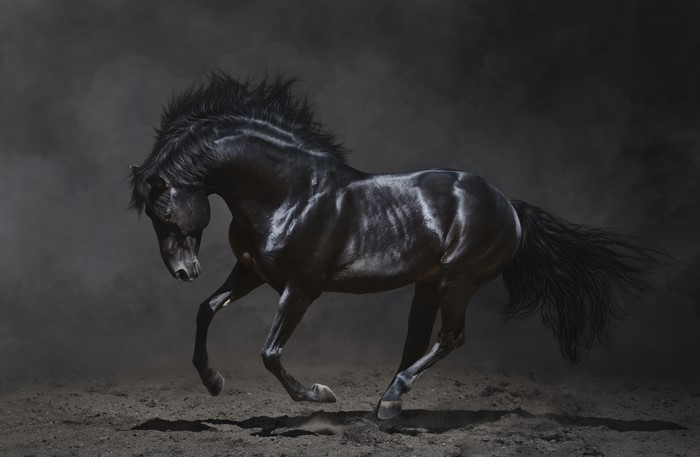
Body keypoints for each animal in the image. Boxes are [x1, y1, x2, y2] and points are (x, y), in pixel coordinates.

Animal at [129, 71, 661, 419]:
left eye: (164, 211)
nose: (183, 271)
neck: (290, 193)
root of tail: (508, 205)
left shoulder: (300, 288)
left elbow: (271, 352)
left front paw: (319, 395)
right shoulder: (252, 272)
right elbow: (206, 309)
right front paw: (213, 381)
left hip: (458, 282)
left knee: (450, 338)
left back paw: (390, 400)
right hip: (429, 284)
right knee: (417, 341)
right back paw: (386, 406)